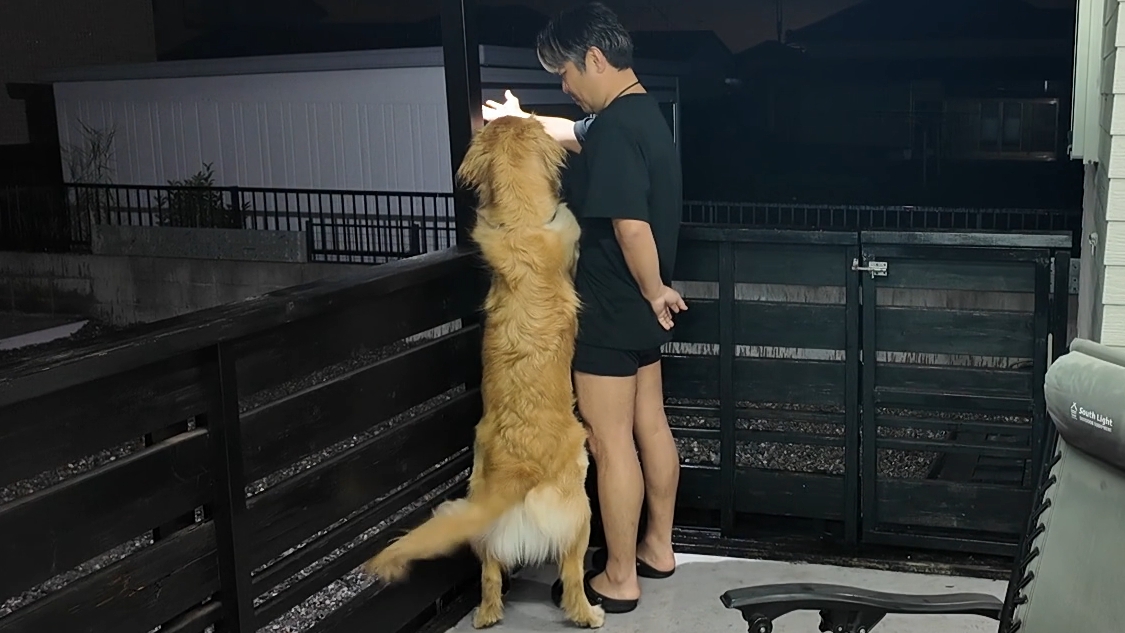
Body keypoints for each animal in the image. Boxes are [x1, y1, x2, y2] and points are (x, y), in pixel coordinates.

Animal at [362, 115, 603, 629]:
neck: (520, 223)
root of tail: (518, 467)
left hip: (485, 521)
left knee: (490, 575)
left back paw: (487, 614)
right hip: (580, 512)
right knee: (572, 575)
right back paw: (589, 613)